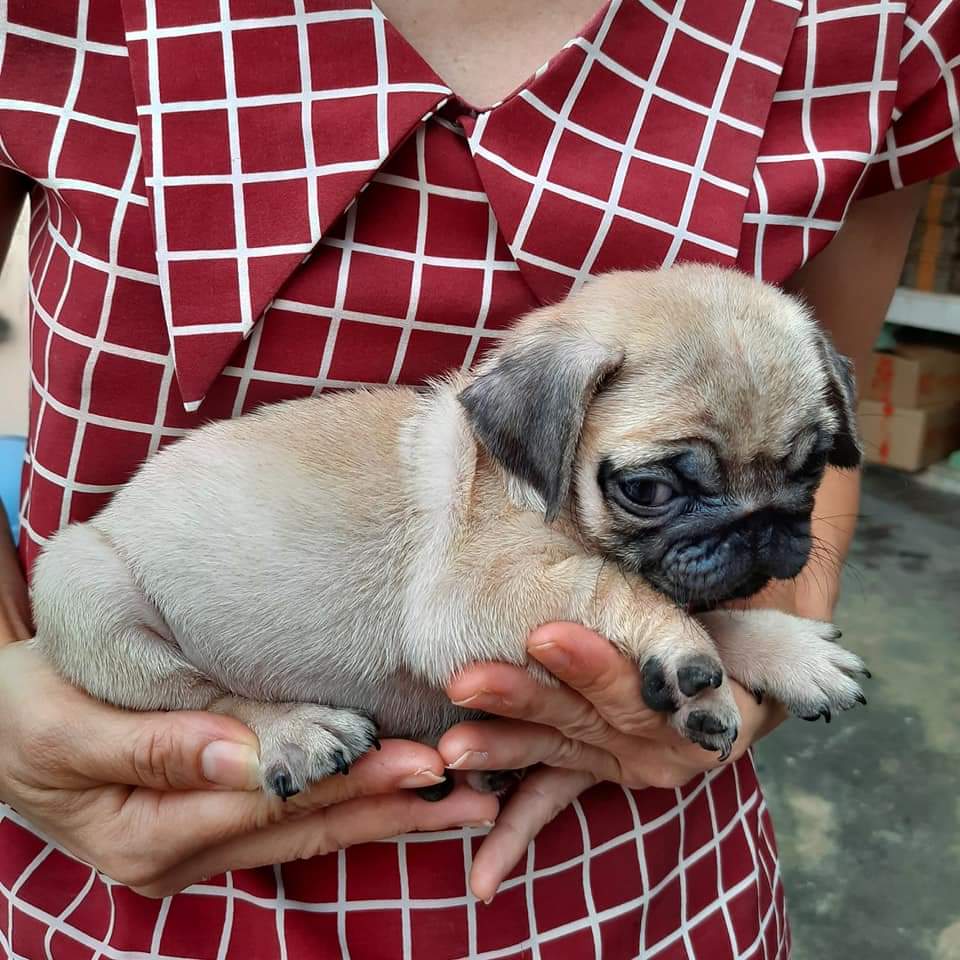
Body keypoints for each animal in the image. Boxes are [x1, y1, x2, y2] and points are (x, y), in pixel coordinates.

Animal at [30, 265, 869, 799]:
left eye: (814, 463)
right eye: (648, 491)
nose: (758, 526)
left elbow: (706, 608)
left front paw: (784, 650)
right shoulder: (481, 594)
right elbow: (622, 587)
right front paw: (686, 653)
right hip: (89, 594)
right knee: (207, 699)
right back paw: (296, 730)